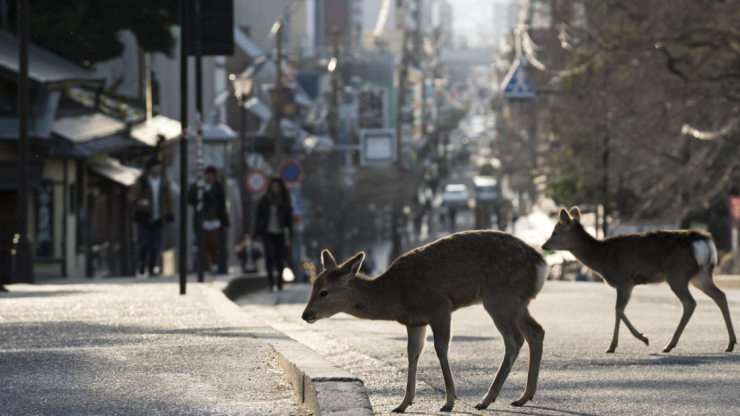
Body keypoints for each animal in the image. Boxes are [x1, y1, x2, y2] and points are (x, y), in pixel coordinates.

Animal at [300, 231, 548, 412]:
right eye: (312, 286)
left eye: (323, 292)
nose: (305, 314)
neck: (397, 296)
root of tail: (542, 266)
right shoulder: (415, 321)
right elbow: (413, 353)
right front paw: (402, 404)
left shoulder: (440, 307)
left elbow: (441, 349)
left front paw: (448, 402)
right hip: (517, 302)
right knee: (536, 331)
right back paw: (523, 397)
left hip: (500, 296)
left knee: (514, 340)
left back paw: (487, 399)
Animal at [540, 206, 736, 352]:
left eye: (555, 231)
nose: (543, 245)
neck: (602, 259)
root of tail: (704, 242)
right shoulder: (625, 284)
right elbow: (617, 311)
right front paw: (612, 346)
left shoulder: (624, 280)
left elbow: (618, 309)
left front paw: (643, 338)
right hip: (699, 274)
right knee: (720, 296)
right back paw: (730, 343)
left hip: (677, 274)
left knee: (690, 303)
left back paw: (669, 345)